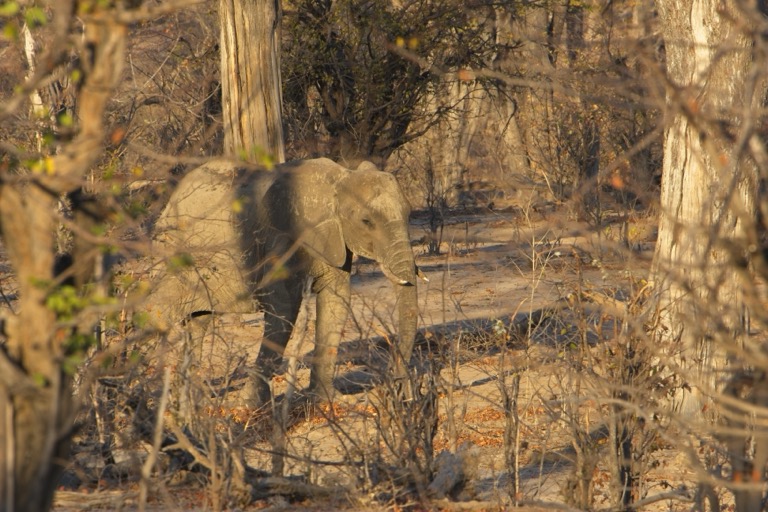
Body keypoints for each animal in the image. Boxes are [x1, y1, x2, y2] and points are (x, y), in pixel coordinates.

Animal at [146, 157, 422, 408]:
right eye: (367, 221)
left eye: (409, 213)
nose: (401, 392)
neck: (340, 178)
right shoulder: (281, 238)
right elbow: (284, 309)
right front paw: (250, 409)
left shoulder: (336, 241)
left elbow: (336, 301)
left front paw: (328, 401)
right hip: (171, 254)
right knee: (156, 313)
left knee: (198, 322)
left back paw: (190, 405)